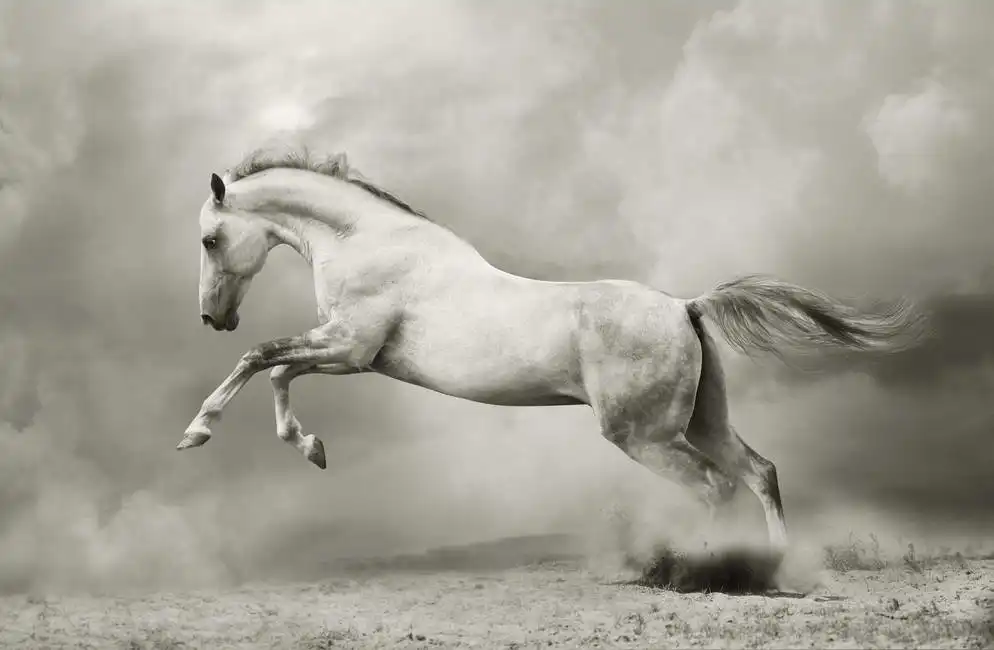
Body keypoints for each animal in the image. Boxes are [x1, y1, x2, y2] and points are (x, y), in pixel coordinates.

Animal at [178, 146, 927, 552]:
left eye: (211, 239)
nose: (213, 317)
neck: (369, 242)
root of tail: (685, 308)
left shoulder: (351, 348)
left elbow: (262, 360)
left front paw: (197, 432)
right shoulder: (344, 351)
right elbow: (276, 373)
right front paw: (312, 447)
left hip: (644, 435)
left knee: (714, 487)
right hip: (702, 421)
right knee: (760, 473)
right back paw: (774, 567)